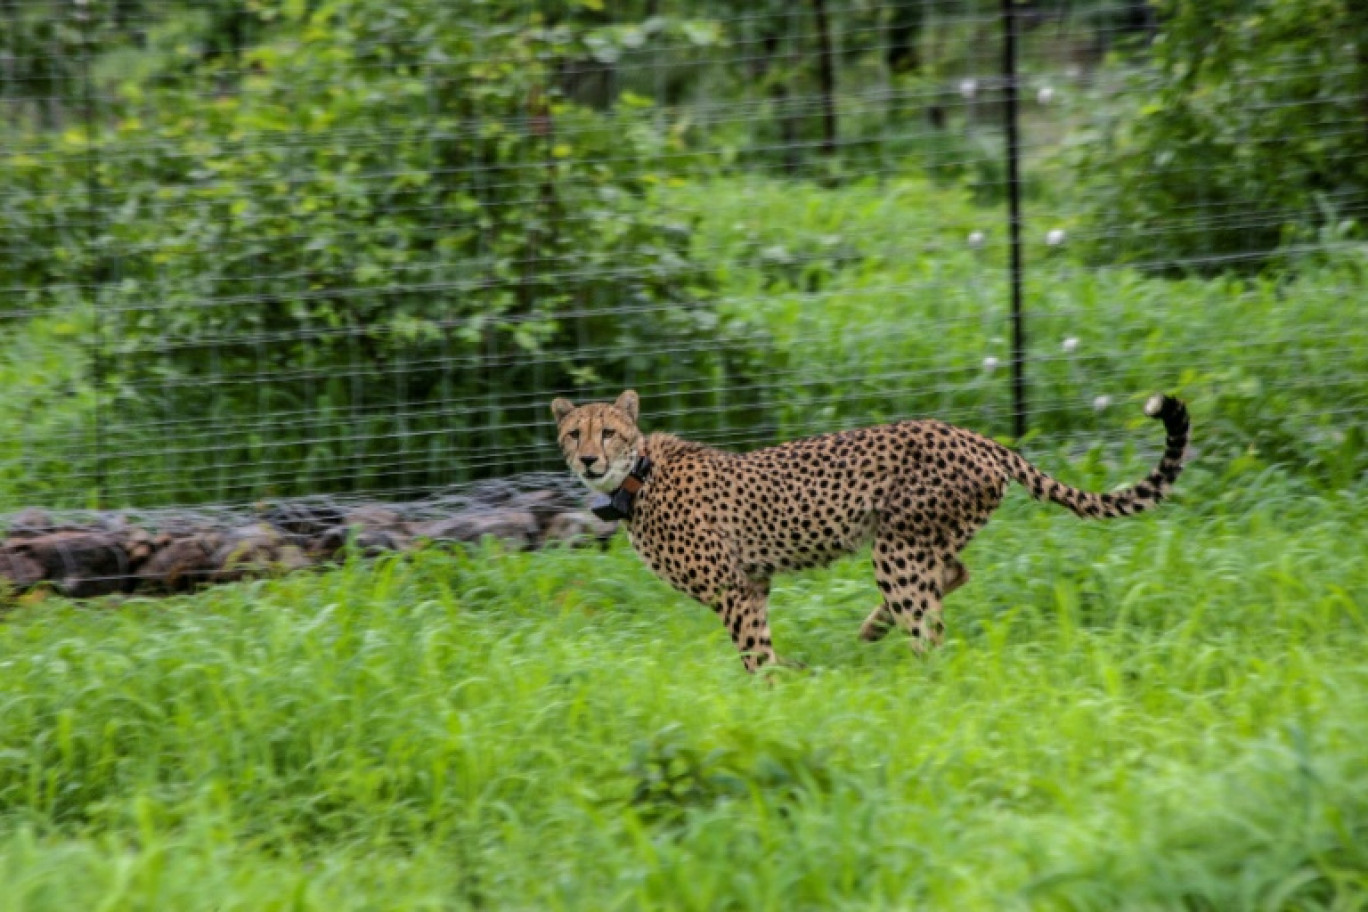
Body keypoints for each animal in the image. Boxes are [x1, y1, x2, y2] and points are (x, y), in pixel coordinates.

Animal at [549, 388, 1192, 675]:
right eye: (574, 433)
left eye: (608, 432)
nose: (588, 460)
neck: (637, 475)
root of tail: (974, 436)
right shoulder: (754, 584)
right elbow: (760, 640)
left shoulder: (733, 588)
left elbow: (754, 651)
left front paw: (770, 692)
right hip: (921, 539)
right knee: (953, 573)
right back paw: (872, 629)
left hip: (898, 547)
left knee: (930, 625)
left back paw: (915, 674)